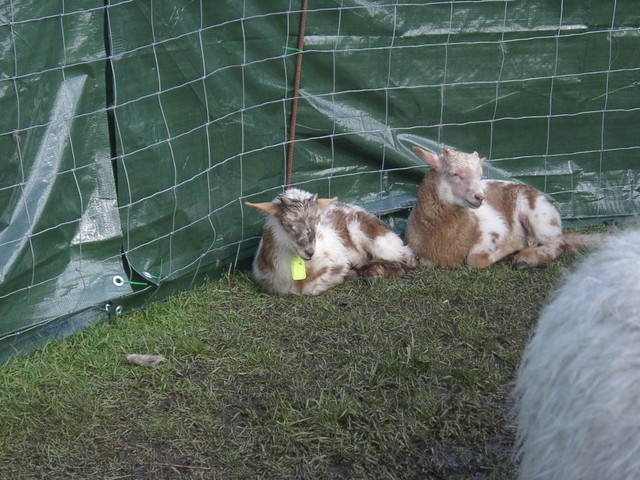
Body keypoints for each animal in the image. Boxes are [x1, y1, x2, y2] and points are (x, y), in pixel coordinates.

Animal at [246, 188, 417, 295]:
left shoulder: (338, 263)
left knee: (408, 258)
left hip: (378, 240)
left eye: (317, 221)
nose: (310, 252)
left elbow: (315, 287)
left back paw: (375, 272)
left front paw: (352, 273)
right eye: (288, 224)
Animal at [405, 146, 602, 269]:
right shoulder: (424, 258)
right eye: (454, 174)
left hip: (539, 214)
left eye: (480, 175)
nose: (480, 197)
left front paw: (514, 245)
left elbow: (474, 260)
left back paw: (526, 258)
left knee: (560, 243)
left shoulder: (495, 229)